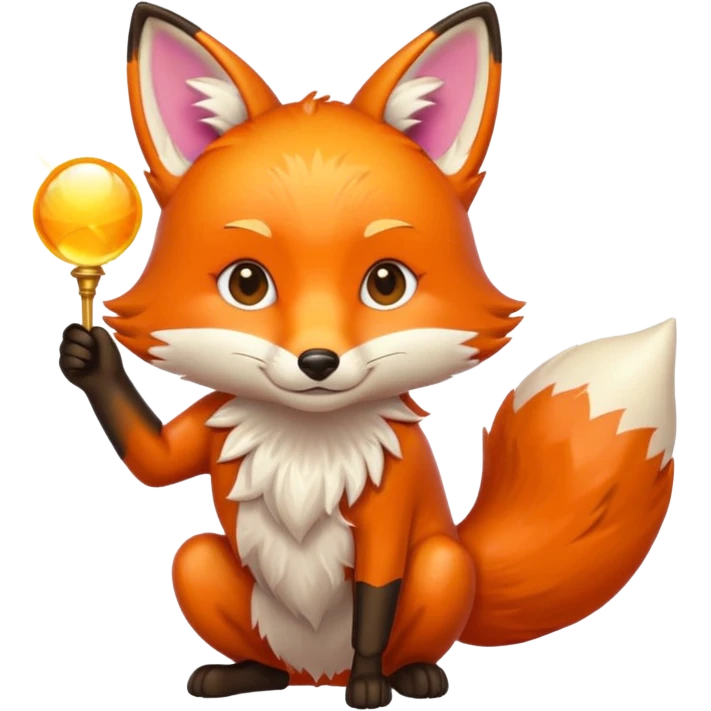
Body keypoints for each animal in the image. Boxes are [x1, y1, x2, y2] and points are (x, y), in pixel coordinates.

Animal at [56, 1, 679, 708]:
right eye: (246, 284)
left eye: (386, 284)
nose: (317, 363)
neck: (308, 443)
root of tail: (313, 675)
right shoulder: (212, 425)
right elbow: (155, 462)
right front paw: (87, 359)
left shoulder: (390, 502)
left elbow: (373, 604)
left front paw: (370, 684)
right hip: (202, 567)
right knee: (244, 629)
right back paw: (243, 675)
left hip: (443, 564)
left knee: (415, 622)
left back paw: (413, 676)